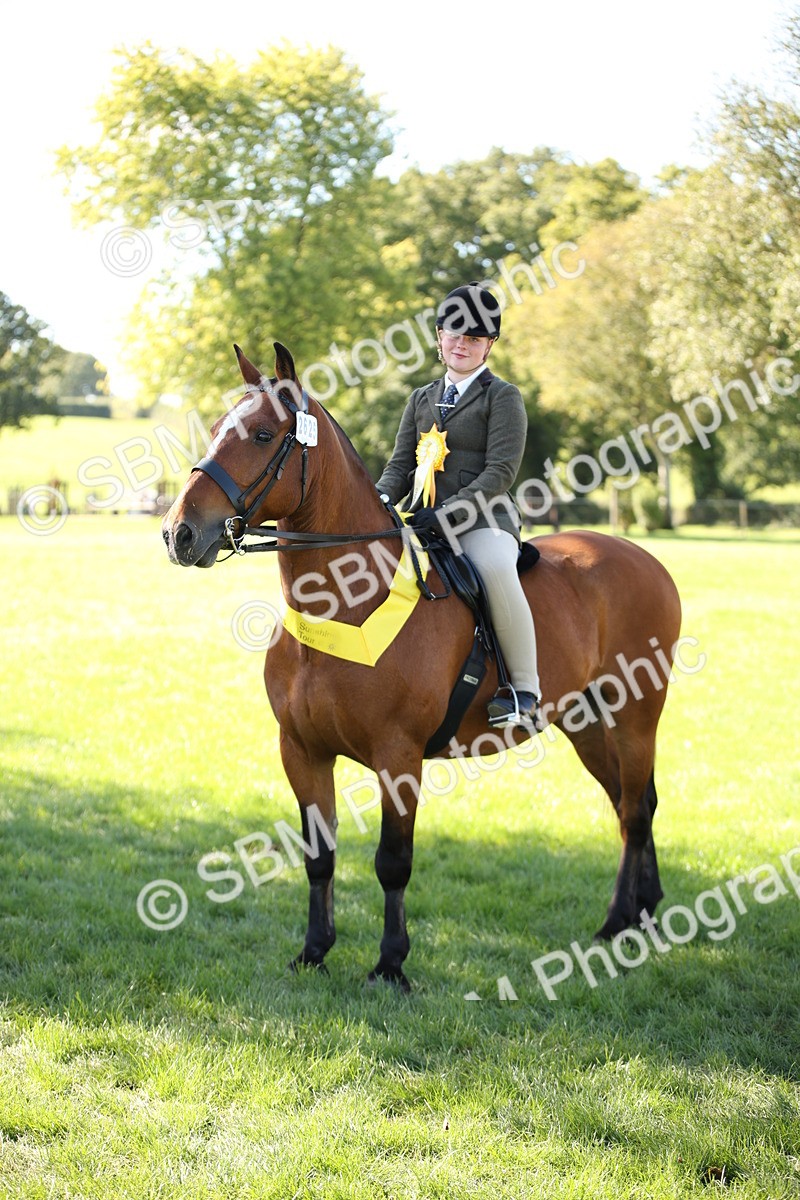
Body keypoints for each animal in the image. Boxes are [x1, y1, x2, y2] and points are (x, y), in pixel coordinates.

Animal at [162, 342, 682, 990]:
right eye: (214, 429)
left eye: (261, 434)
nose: (179, 533)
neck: (346, 602)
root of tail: (644, 558)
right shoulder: (301, 751)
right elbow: (319, 856)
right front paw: (314, 951)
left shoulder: (398, 756)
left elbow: (393, 861)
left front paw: (390, 964)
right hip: (586, 723)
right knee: (629, 805)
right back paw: (641, 913)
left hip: (636, 717)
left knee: (634, 810)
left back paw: (618, 924)